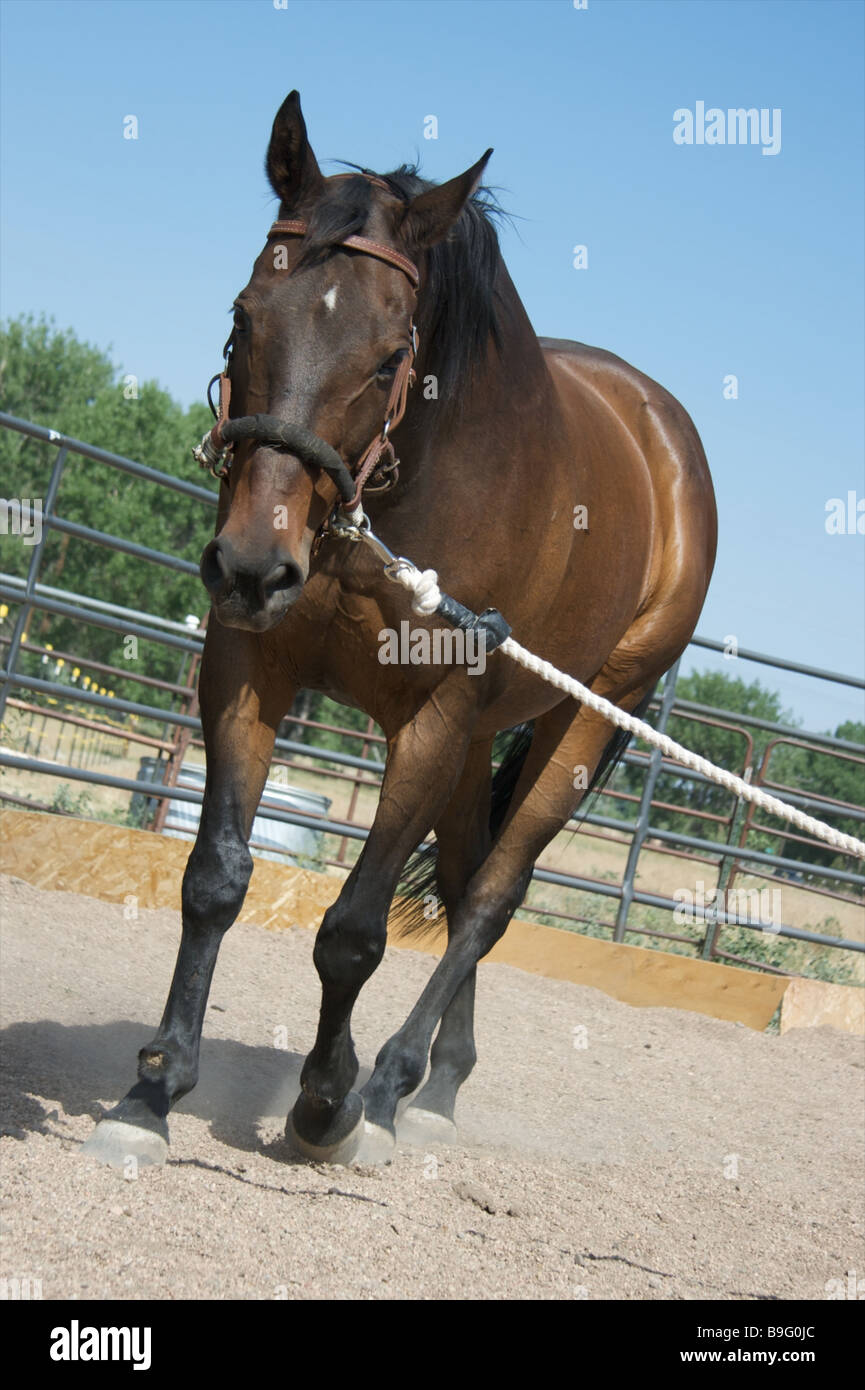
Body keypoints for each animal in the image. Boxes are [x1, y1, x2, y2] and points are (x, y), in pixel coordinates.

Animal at [83, 90, 717, 1169]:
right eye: (243, 315)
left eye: (390, 357)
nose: (251, 564)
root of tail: (661, 428)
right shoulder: (248, 663)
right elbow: (215, 878)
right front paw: (153, 1092)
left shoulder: (432, 721)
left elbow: (354, 930)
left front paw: (325, 1105)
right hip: (481, 742)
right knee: (463, 882)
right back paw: (438, 1080)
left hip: (588, 720)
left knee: (492, 900)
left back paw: (390, 1087)